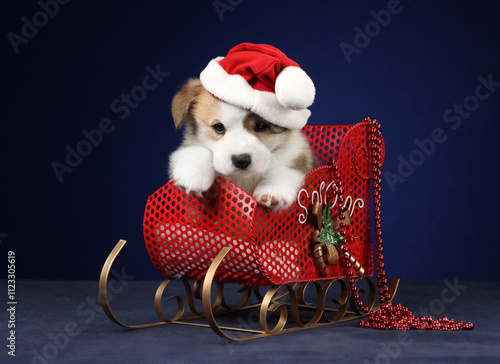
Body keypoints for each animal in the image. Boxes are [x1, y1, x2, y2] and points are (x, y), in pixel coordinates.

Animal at [168, 79, 316, 210]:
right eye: (219, 127)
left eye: (260, 126)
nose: (241, 161)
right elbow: (196, 150)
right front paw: (193, 176)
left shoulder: (298, 156)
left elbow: (286, 170)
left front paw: (273, 190)